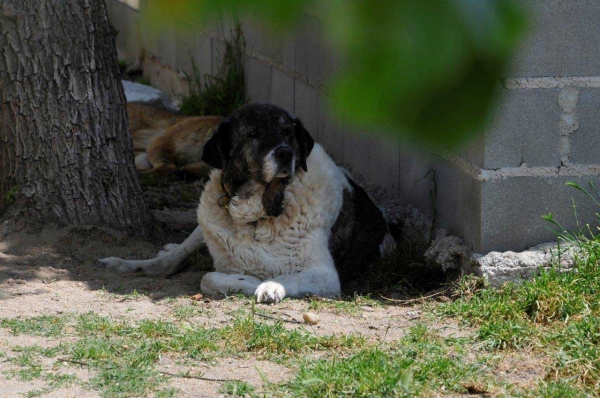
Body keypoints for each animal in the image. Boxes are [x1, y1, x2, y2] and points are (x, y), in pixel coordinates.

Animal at [102, 104, 394, 304]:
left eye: (288, 132)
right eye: (253, 133)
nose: (285, 152)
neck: (258, 215)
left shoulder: (324, 275)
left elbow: (263, 277)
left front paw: (268, 285)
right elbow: (209, 276)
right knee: (174, 255)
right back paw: (135, 263)